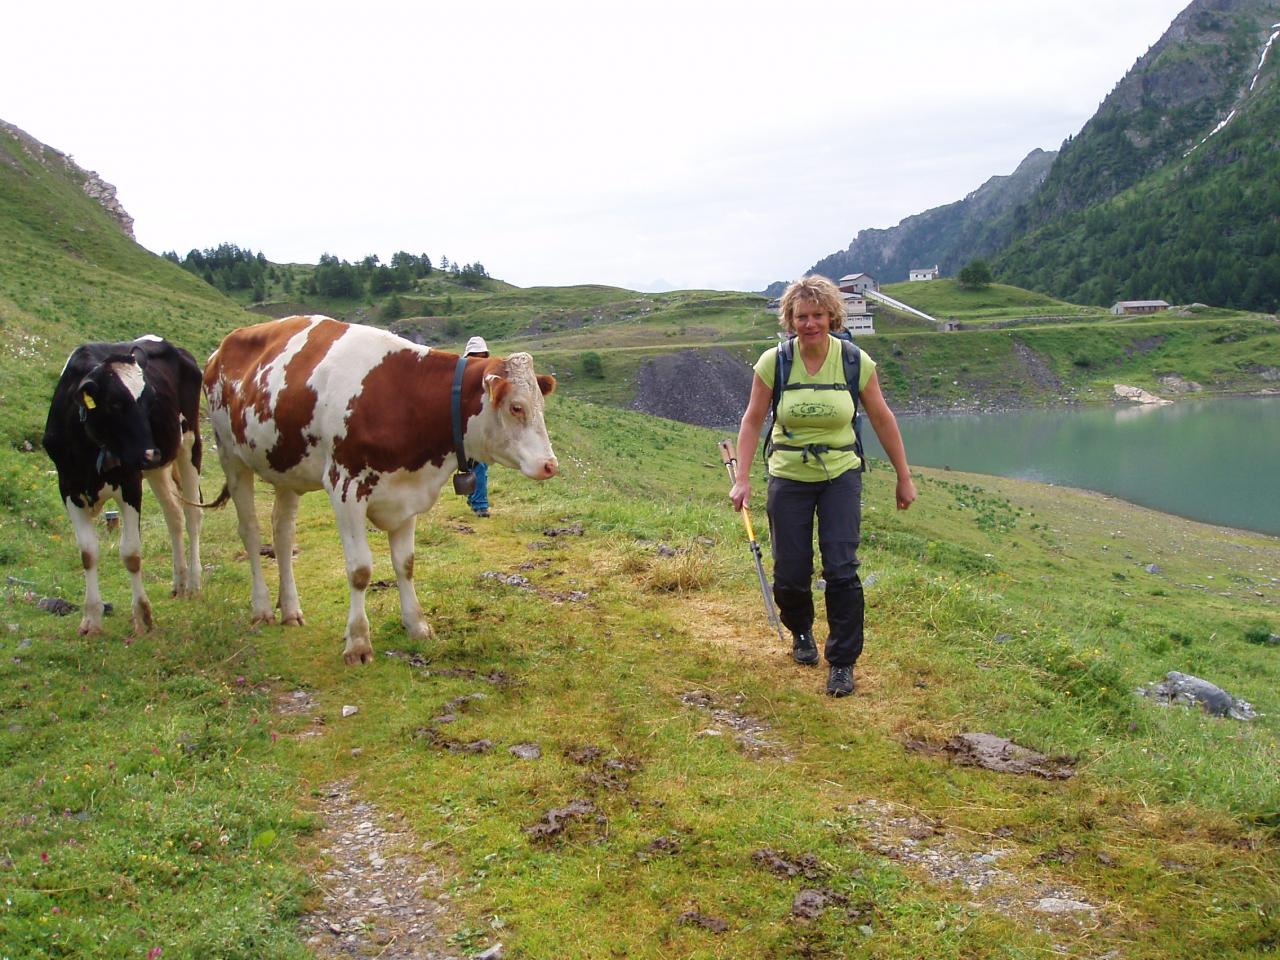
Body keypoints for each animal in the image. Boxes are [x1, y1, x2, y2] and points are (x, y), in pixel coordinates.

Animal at [43, 337, 204, 640]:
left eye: (151, 401)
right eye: (115, 404)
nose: (151, 453)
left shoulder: (130, 484)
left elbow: (131, 554)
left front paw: (142, 617)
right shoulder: (67, 487)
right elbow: (87, 553)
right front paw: (91, 619)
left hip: (189, 445)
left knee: (193, 516)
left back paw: (195, 584)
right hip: (158, 469)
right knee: (174, 516)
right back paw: (179, 582)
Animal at [200, 320, 555, 665]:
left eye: (541, 405)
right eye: (516, 407)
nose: (550, 465)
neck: (405, 397)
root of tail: (222, 348)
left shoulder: (407, 492)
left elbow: (406, 564)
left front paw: (417, 625)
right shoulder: (345, 489)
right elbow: (360, 570)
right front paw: (358, 643)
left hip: (285, 468)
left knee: (283, 534)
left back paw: (290, 610)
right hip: (231, 456)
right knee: (250, 530)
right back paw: (261, 609)